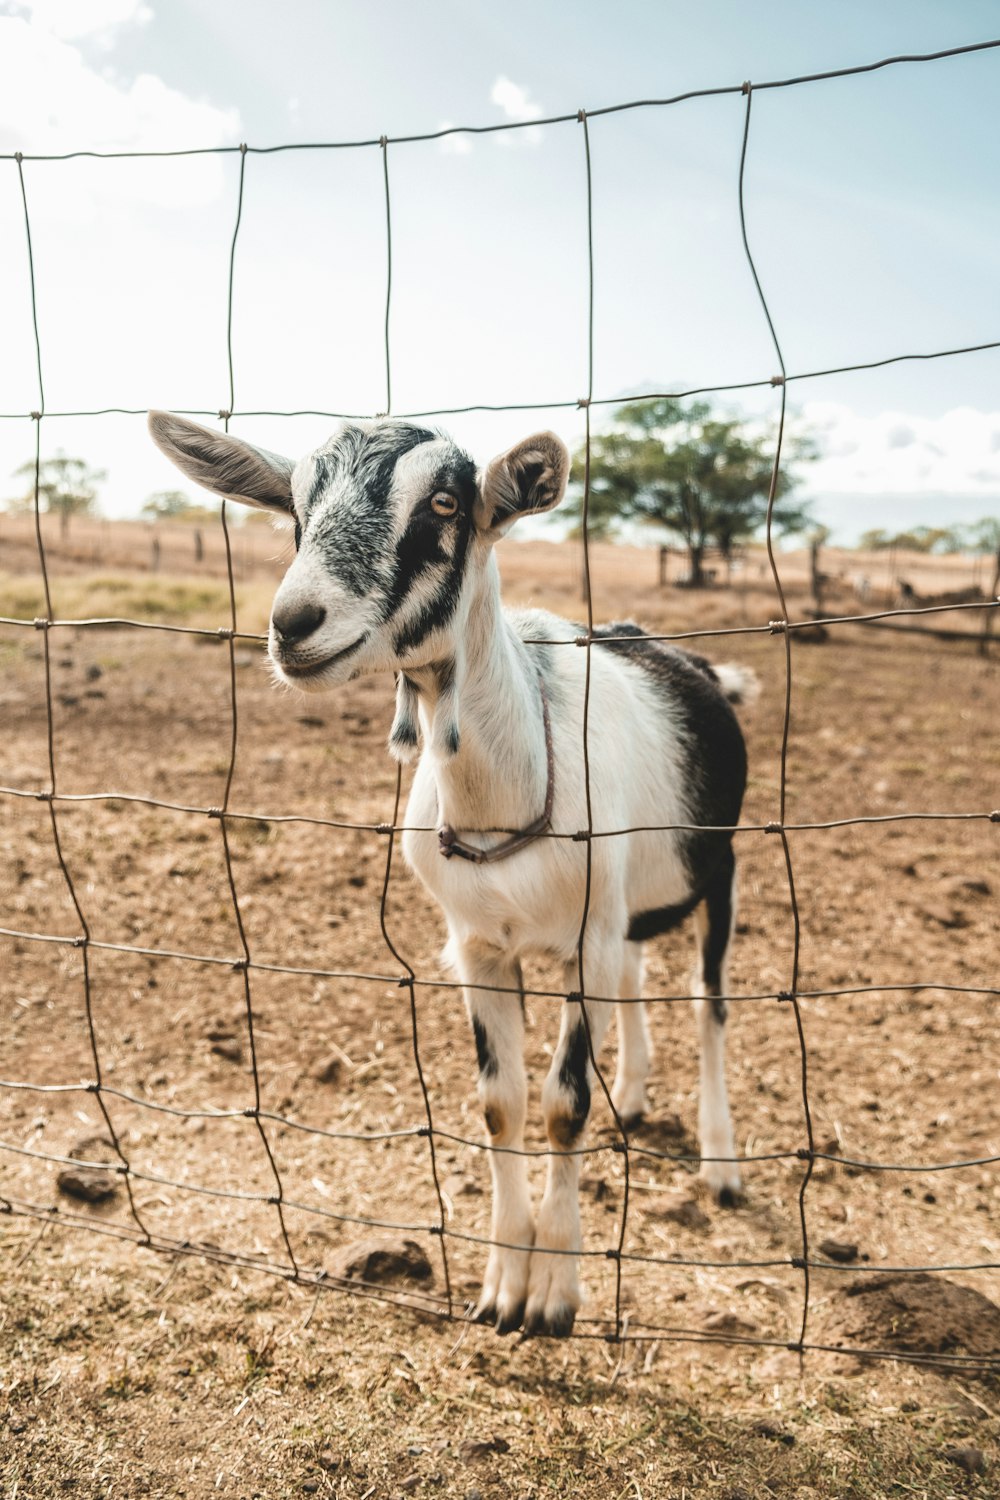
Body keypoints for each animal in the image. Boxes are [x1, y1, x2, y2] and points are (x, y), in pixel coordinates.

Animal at [148, 411, 755, 1338]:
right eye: (296, 505)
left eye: (442, 503)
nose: (294, 623)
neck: (512, 792)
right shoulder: (479, 947)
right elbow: (502, 1102)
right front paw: (504, 1286)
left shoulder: (583, 942)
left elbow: (563, 1105)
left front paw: (555, 1296)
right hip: (625, 909)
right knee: (639, 976)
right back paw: (635, 1095)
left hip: (717, 868)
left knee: (709, 1003)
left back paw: (720, 1166)